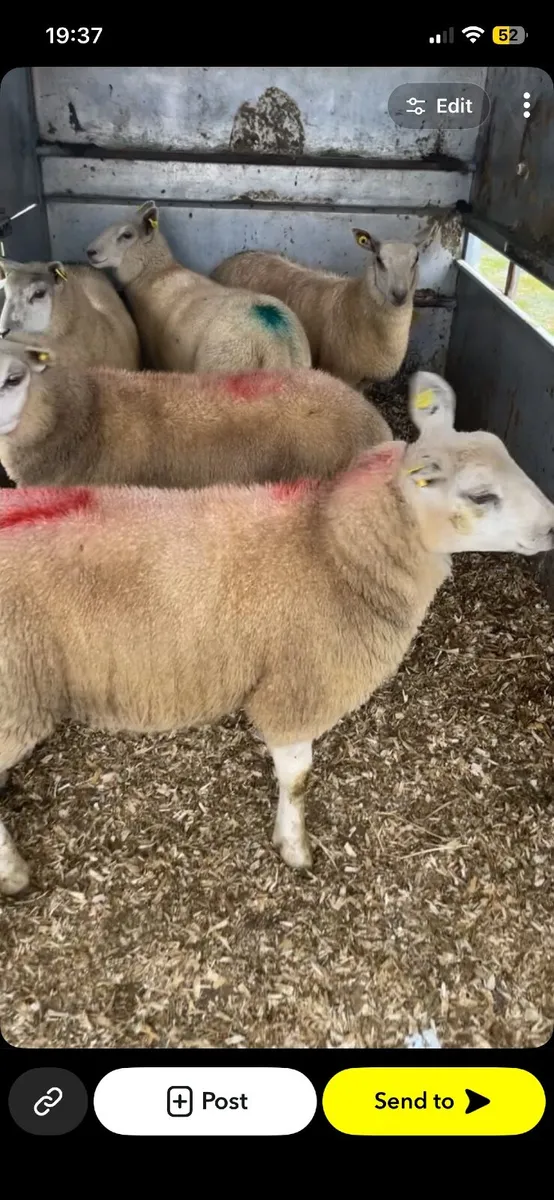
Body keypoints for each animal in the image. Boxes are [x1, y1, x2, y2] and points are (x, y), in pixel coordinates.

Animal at [1, 370, 553, 895]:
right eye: (481, 495)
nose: (551, 525)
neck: (332, 549)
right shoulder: (299, 689)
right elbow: (299, 777)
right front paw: (294, 845)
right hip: (14, 698)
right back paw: (13, 873)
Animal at [211, 222, 440, 387]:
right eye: (379, 260)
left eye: (416, 259)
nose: (399, 295)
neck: (356, 303)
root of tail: (230, 260)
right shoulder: (341, 372)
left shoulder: (365, 380)